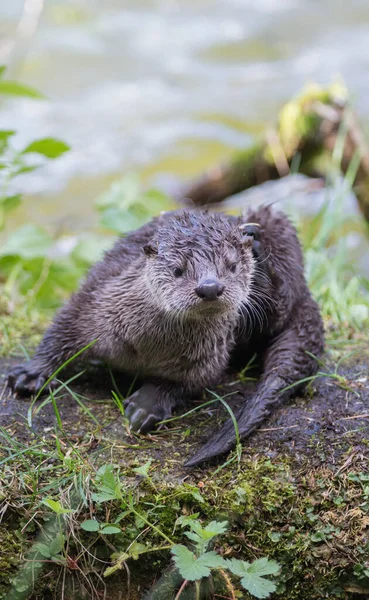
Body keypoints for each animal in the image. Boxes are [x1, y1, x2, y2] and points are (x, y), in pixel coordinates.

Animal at [5, 209, 322, 466]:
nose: (209, 287)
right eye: (177, 270)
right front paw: (31, 374)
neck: (147, 348)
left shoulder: (209, 356)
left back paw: (257, 245)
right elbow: (62, 328)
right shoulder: (94, 300)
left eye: (232, 266)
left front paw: (146, 405)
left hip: (279, 229)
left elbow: (188, 382)